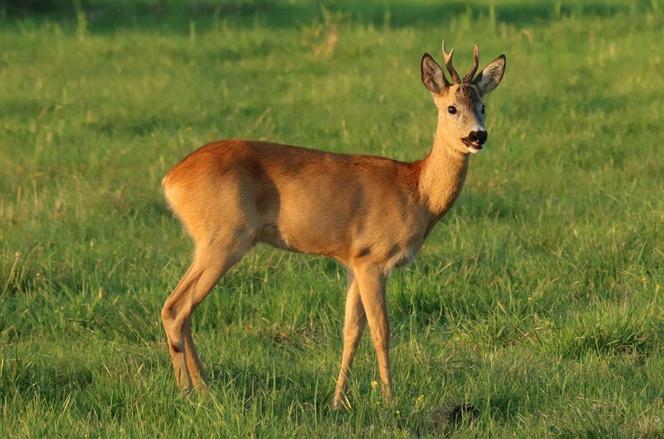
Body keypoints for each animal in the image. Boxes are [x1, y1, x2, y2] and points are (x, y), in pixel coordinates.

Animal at [162, 40, 508, 410]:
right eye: (451, 108)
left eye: (483, 106)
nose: (478, 136)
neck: (418, 191)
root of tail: (171, 180)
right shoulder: (373, 259)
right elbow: (381, 331)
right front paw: (389, 400)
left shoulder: (353, 261)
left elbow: (351, 332)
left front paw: (337, 401)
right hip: (225, 237)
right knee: (176, 307)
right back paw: (189, 391)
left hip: (213, 241)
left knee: (183, 309)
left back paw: (202, 389)